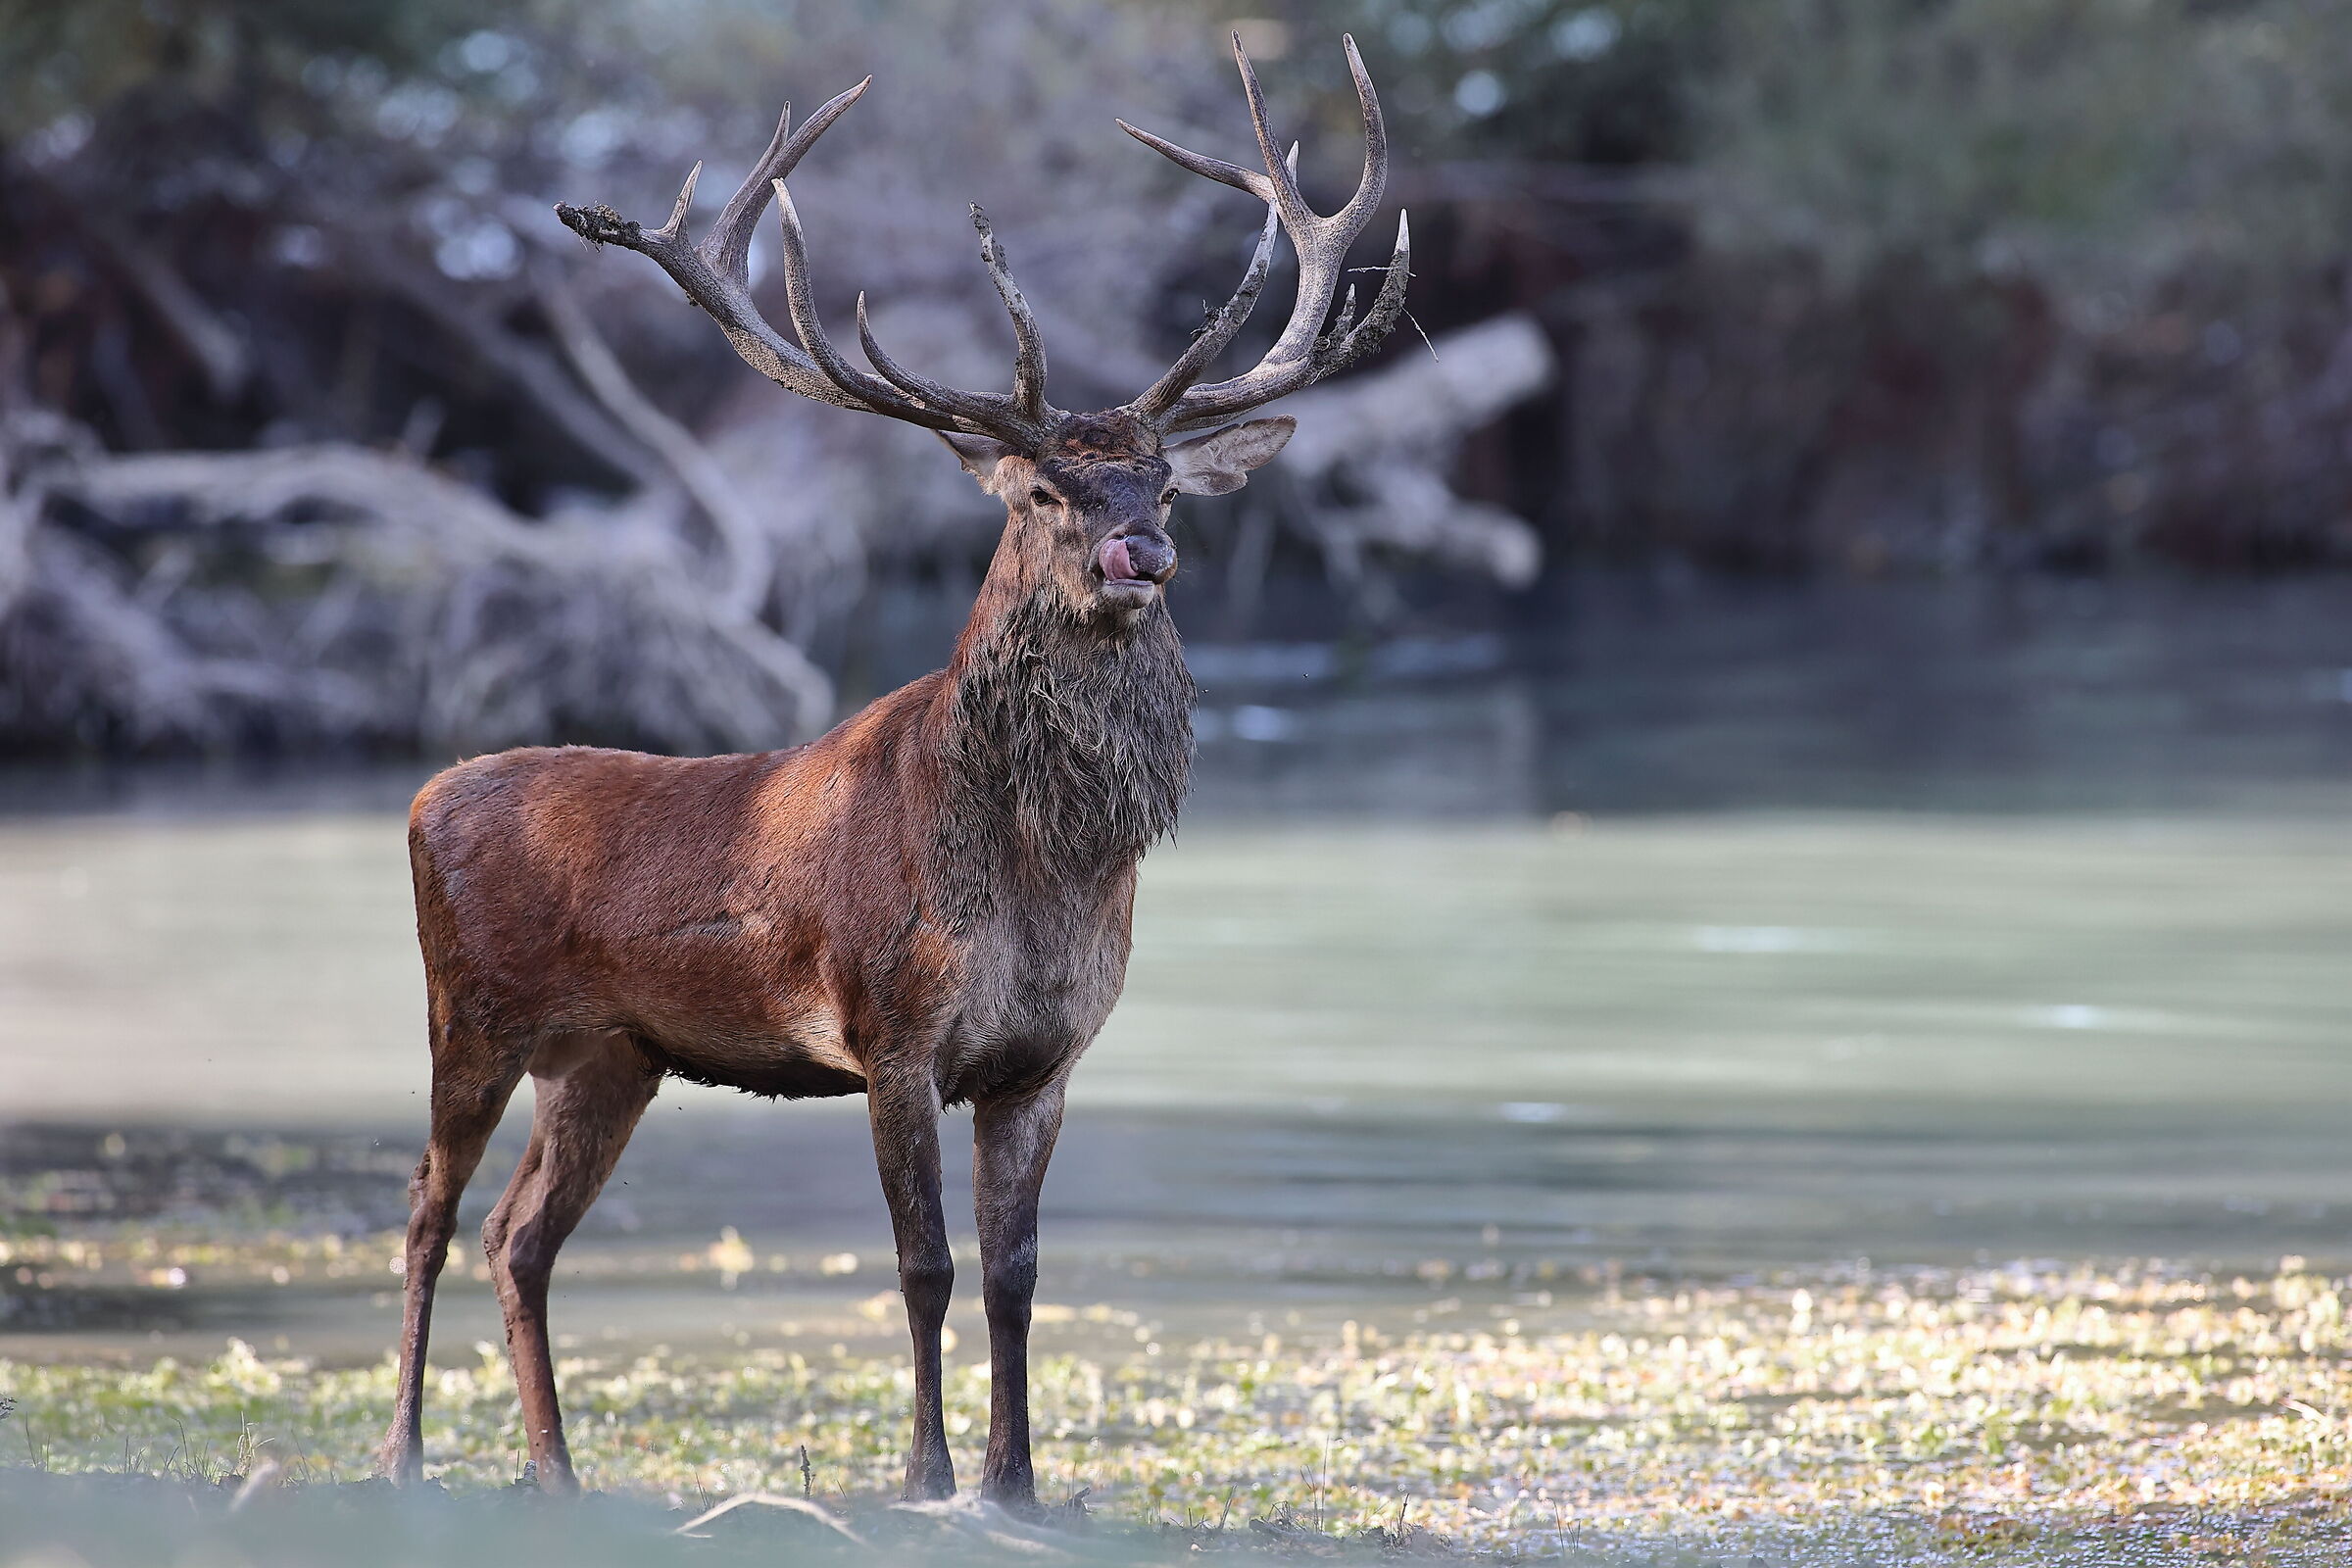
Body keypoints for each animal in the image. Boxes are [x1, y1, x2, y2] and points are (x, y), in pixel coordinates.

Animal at [374, 34, 1407, 1512]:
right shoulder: (891, 1028)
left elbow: (1018, 1276)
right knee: (426, 1210)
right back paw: (402, 1454)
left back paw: (557, 1474)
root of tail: (424, 796)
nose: (1140, 554)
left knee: (522, 1234)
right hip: (471, 1010)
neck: (1043, 873)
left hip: (610, 1056)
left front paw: (1017, 1481)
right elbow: (924, 1266)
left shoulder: (1045, 1057)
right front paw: (924, 1477)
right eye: (1045, 493)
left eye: (1163, 485)